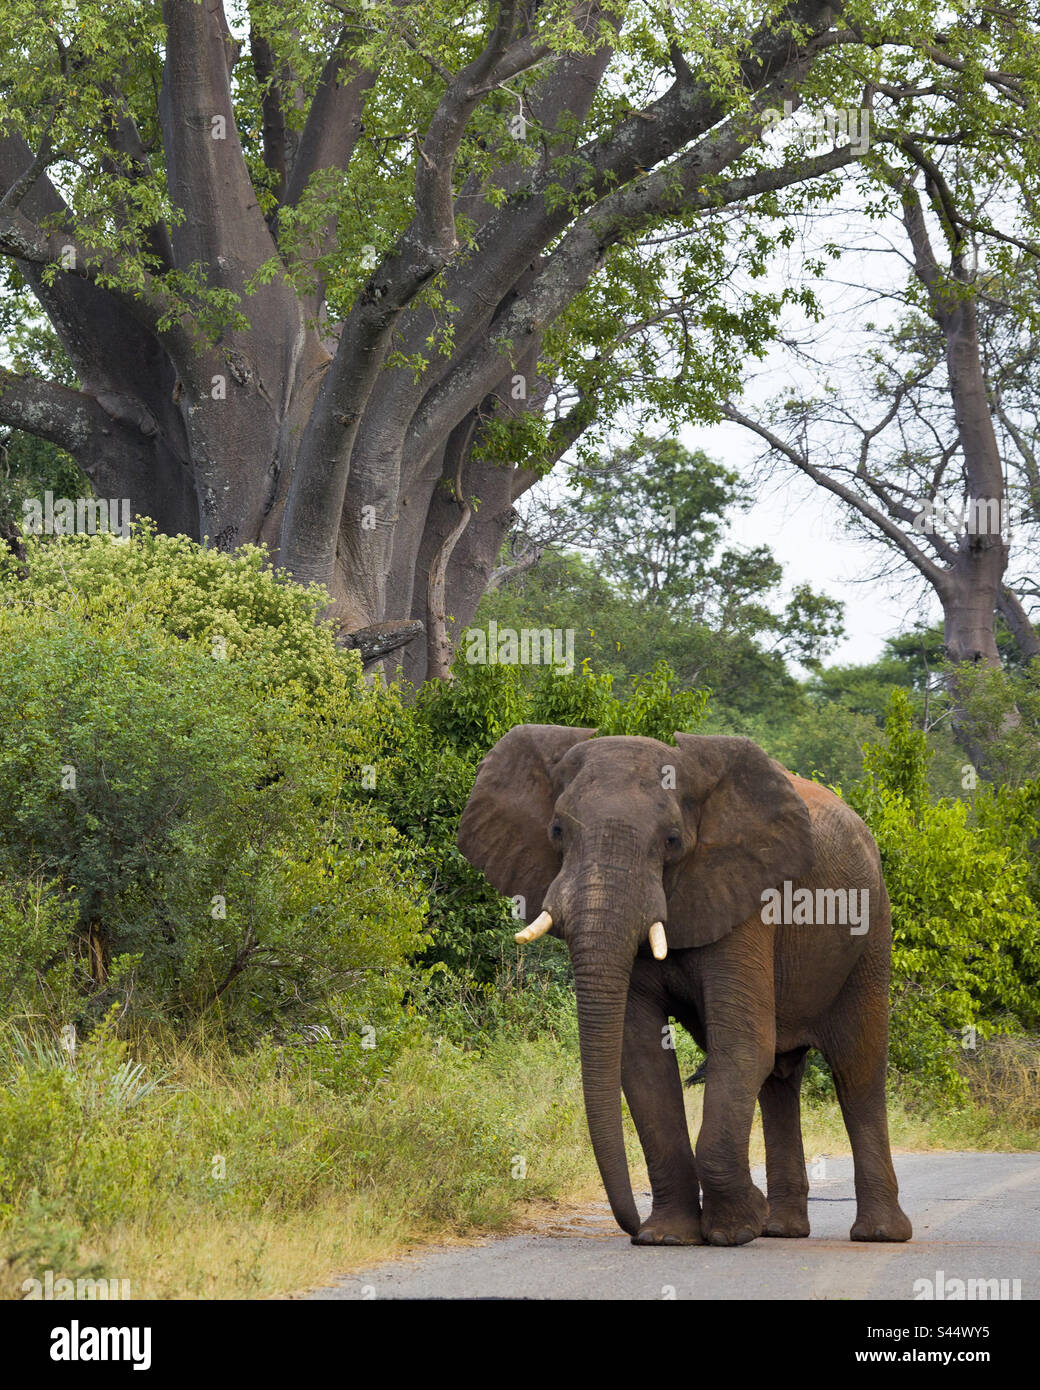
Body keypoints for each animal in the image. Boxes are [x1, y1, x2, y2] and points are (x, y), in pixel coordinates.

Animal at [456, 728, 912, 1251]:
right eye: (556, 832)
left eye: (672, 841)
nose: (630, 1226)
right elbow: (640, 1055)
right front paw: (667, 1237)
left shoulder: (747, 899)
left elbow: (741, 1042)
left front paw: (735, 1229)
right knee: (780, 1079)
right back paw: (781, 1229)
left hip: (871, 934)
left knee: (858, 1070)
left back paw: (878, 1234)